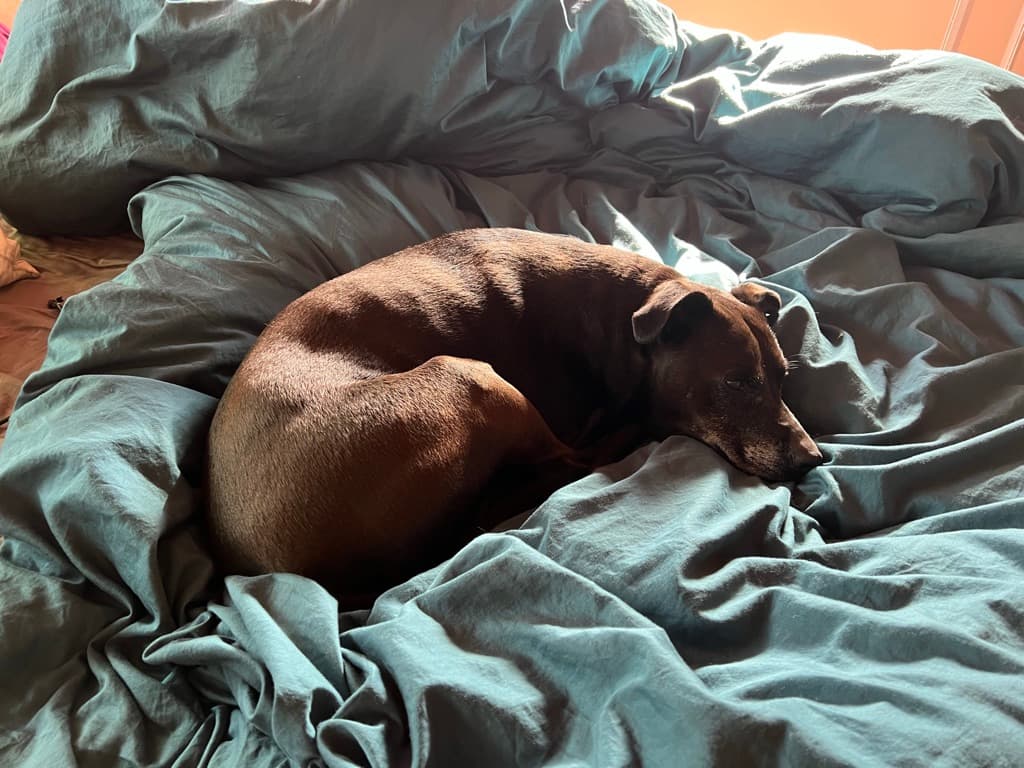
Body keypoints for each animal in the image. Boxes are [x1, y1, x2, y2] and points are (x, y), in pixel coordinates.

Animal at [203, 228, 819, 606]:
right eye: (736, 382)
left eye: (783, 377)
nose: (813, 459)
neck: (621, 320)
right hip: (469, 378)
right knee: (575, 461)